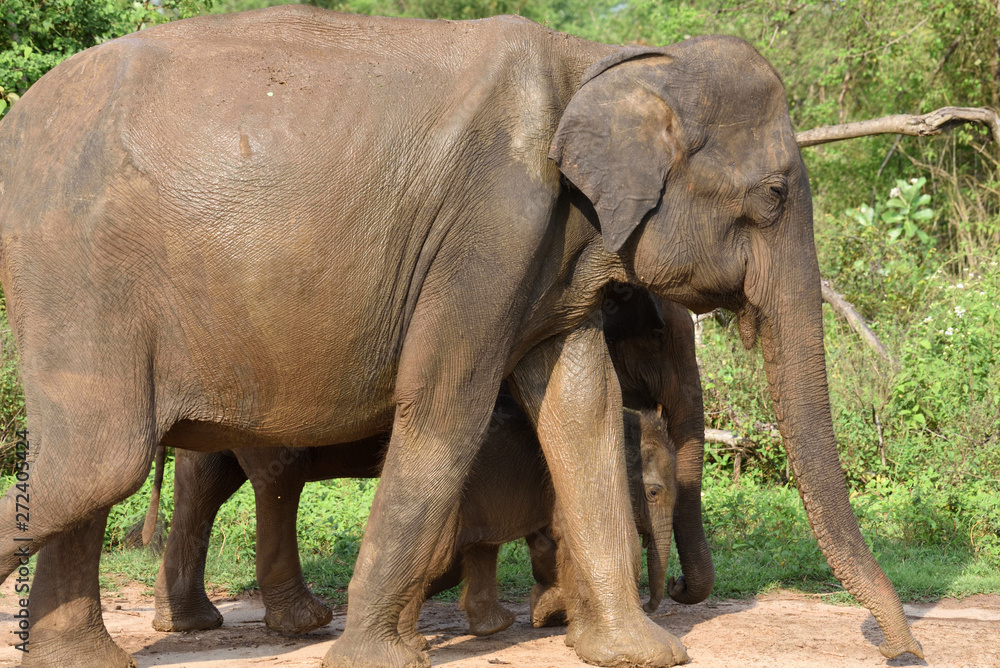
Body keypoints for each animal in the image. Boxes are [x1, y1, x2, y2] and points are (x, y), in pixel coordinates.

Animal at [151, 287, 695, 638]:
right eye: (658, 337)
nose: (677, 590)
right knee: (278, 479)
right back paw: (305, 623)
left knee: (205, 484)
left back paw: (187, 624)